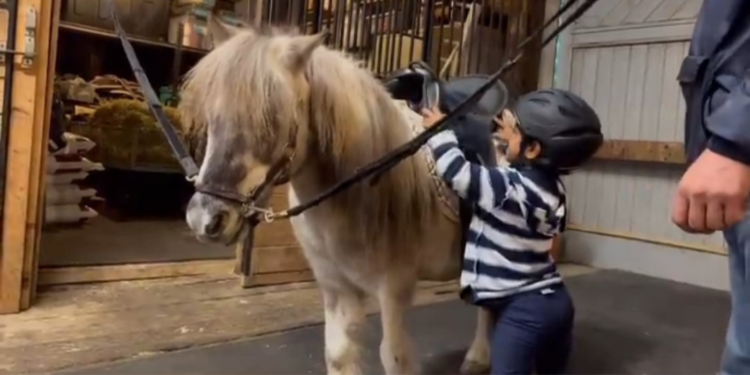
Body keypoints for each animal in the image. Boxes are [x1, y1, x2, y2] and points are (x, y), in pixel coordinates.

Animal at [181, 16, 496, 374]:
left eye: (271, 120)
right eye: (212, 118)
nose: (206, 219)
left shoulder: (395, 287)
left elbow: (394, 356)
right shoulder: (334, 286)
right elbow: (339, 353)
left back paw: (478, 357)